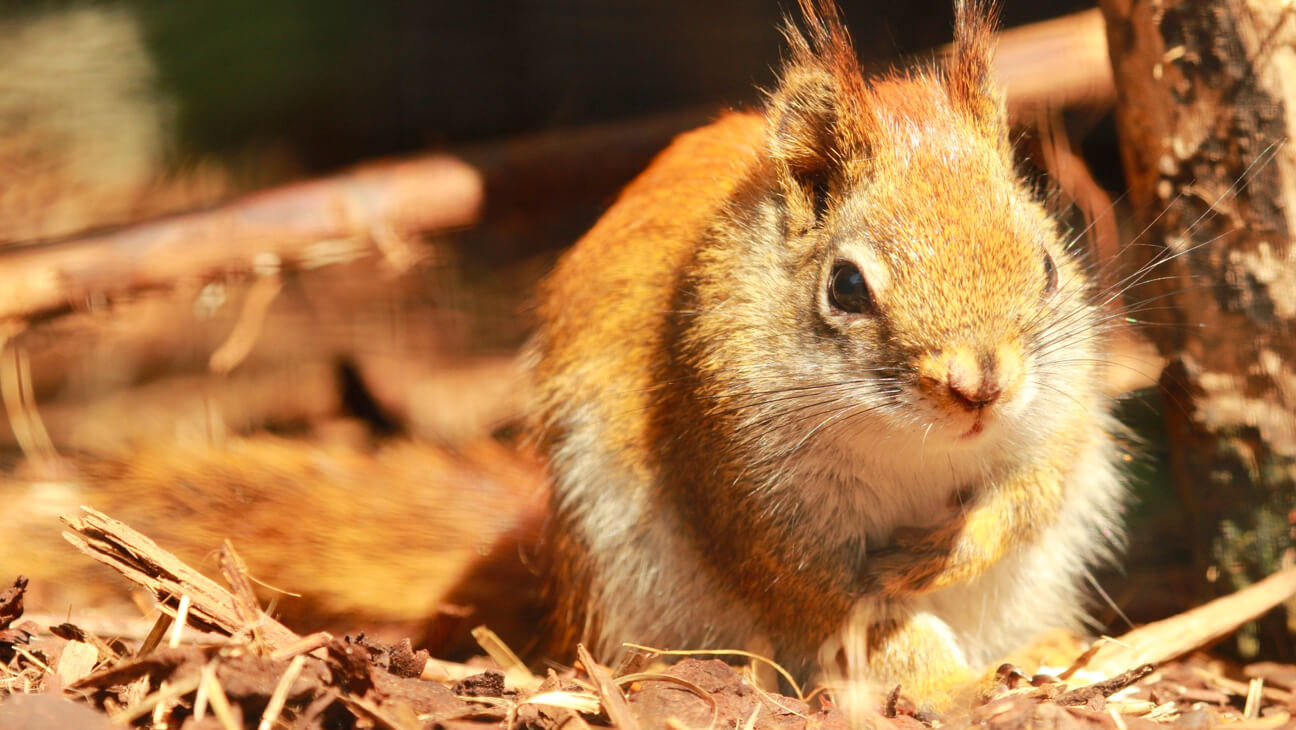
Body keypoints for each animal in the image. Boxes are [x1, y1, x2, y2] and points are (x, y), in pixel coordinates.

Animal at [526, 0, 1124, 710]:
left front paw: (934, 556)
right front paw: (953, 686)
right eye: (846, 286)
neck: (915, 446)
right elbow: (852, 616)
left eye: (1049, 265)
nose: (980, 386)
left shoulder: (1056, 414)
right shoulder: (749, 495)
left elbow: (1031, 496)